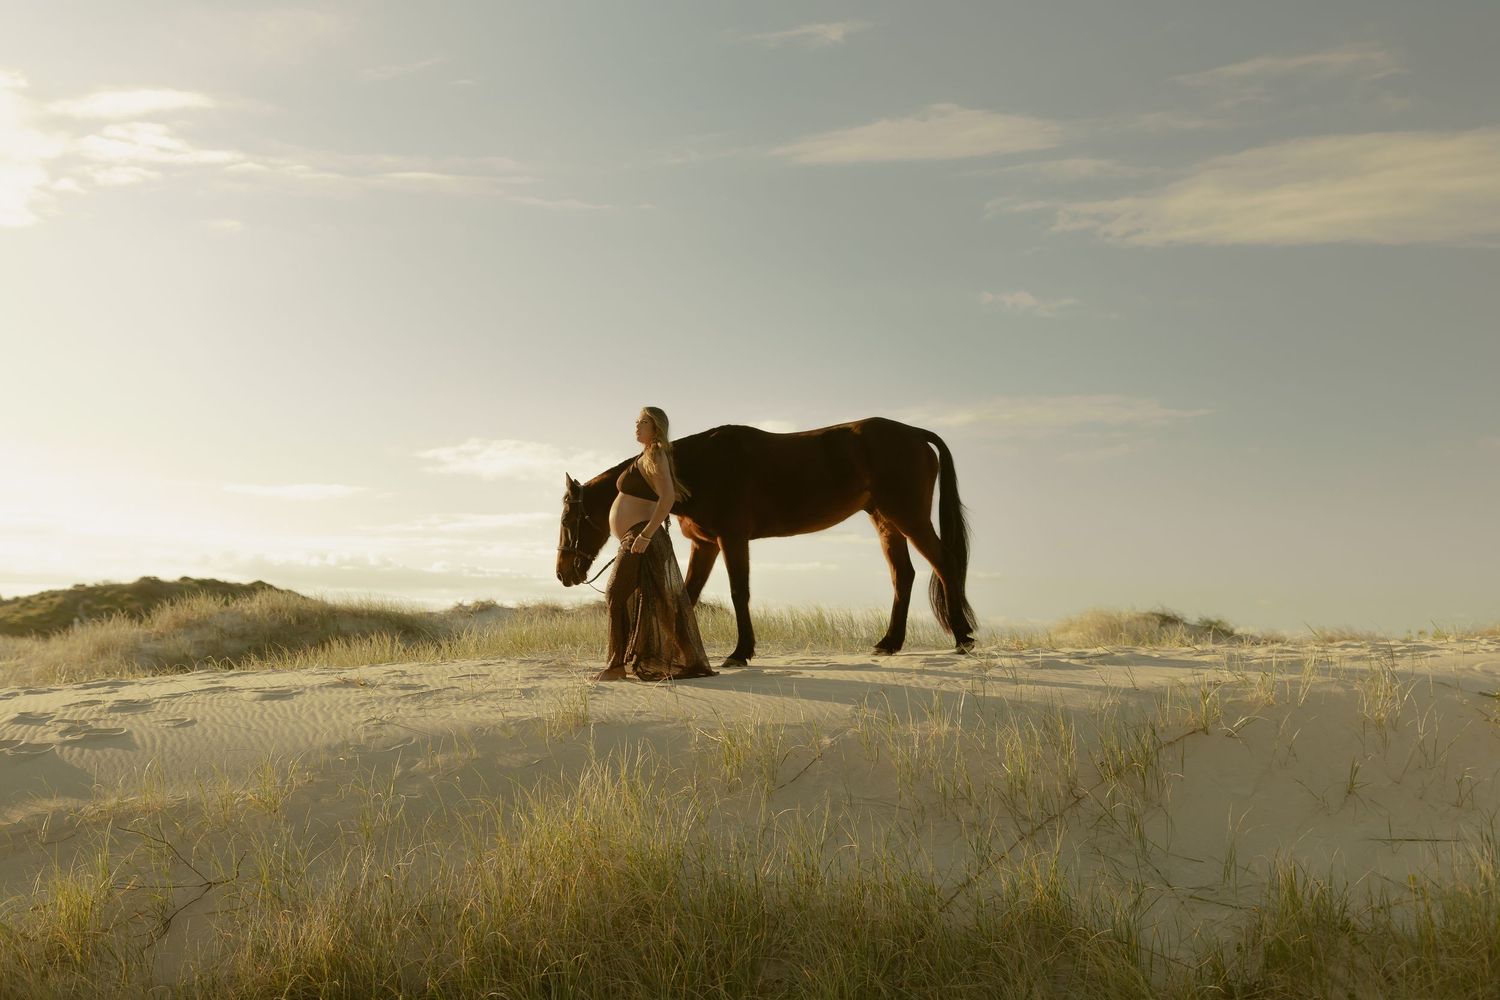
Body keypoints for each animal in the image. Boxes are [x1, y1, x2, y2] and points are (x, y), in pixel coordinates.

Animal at [556, 417, 976, 667]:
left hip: (909, 518)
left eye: (566, 518)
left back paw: (962, 637)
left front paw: (740, 653)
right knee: (903, 576)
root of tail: (915, 433)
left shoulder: (731, 539)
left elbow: (738, 592)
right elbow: (687, 594)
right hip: (887, 522)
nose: (563, 573)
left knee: (945, 563)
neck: (698, 467)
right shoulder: (705, 545)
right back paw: (889, 643)